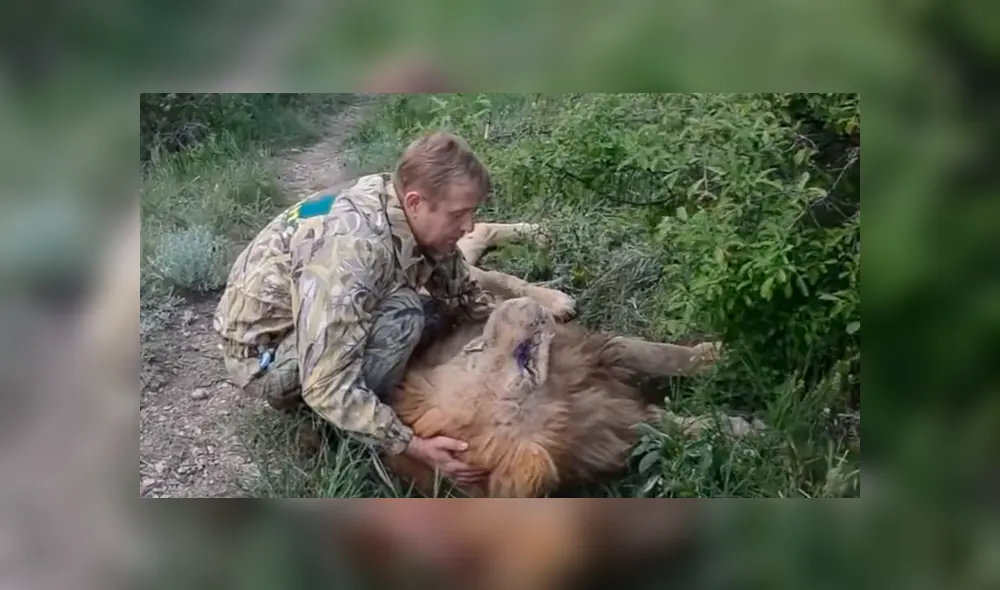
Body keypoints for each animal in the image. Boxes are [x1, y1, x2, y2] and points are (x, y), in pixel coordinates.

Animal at [381, 222, 762, 498]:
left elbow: (665, 354)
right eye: (521, 368)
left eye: (473, 350)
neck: (562, 396)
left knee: (480, 246)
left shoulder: (602, 353)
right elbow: (672, 425)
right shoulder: (611, 424)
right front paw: (743, 431)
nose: (512, 310)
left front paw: (720, 355)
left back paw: (546, 269)